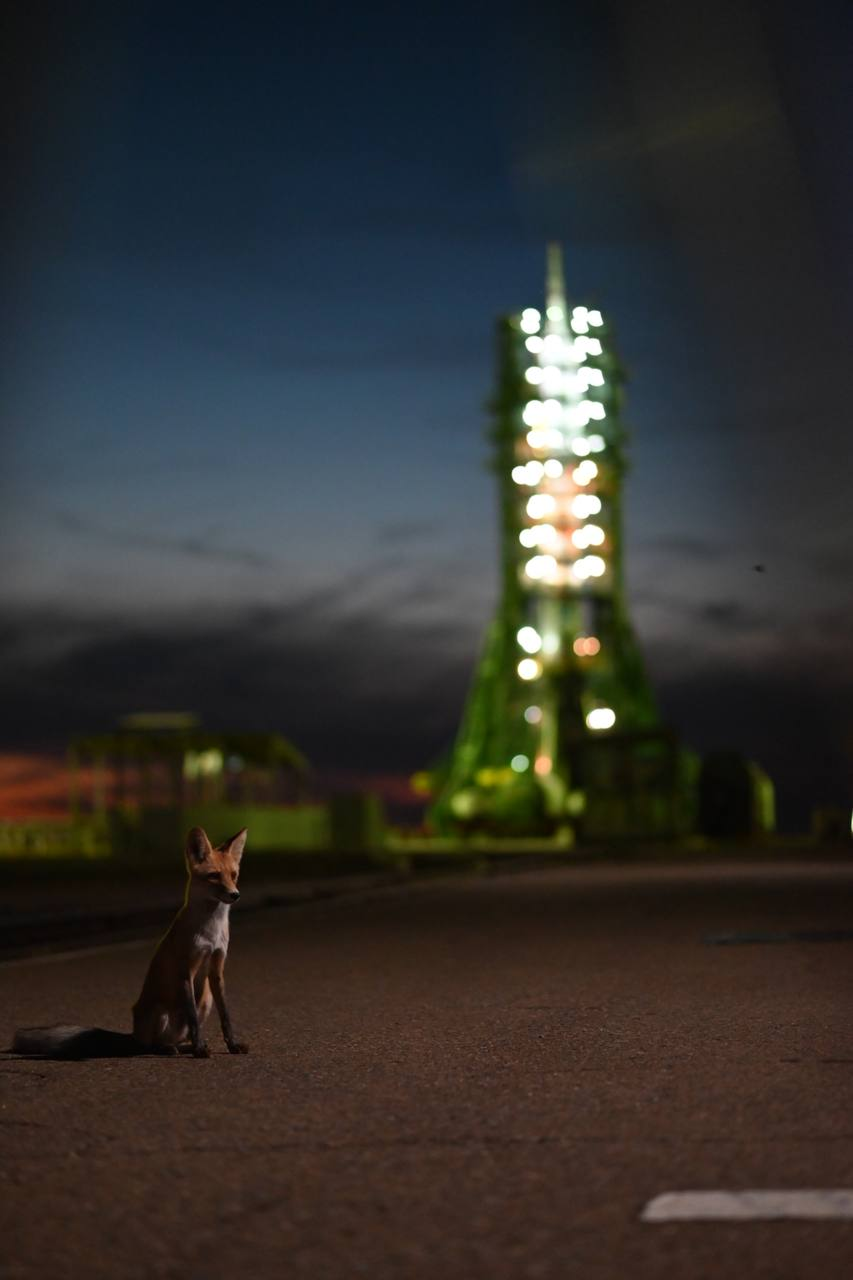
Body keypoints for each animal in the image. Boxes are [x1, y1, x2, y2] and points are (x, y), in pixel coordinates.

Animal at [9, 829, 249, 1059]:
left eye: (234, 875)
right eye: (214, 876)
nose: (235, 895)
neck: (211, 931)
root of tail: (134, 1034)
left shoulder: (216, 969)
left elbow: (225, 1016)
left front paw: (232, 1045)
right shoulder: (185, 971)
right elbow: (193, 1021)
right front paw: (200, 1049)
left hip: (205, 1001)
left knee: (178, 1038)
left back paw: (184, 1047)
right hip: (160, 1012)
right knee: (151, 1045)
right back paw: (169, 1049)